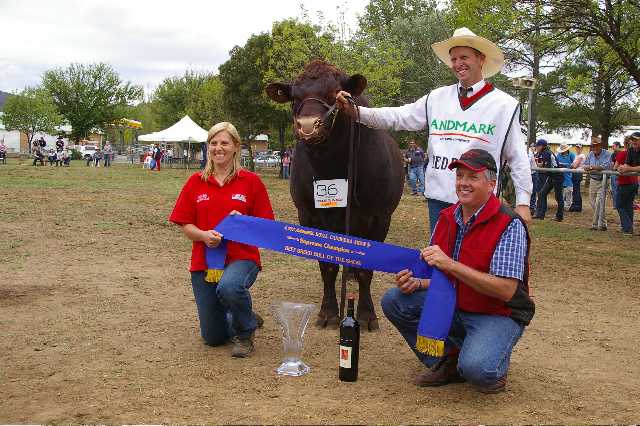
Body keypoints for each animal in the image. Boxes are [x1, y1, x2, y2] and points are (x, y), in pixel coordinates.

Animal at [268, 60, 402, 332]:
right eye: (294, 97)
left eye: (333, 95)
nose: (308, 125)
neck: (332, 167)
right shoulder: (309, 215)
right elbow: (327, 266)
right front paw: (329, 312)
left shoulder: (379, 217)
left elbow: (365, 268)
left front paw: (367, 314)